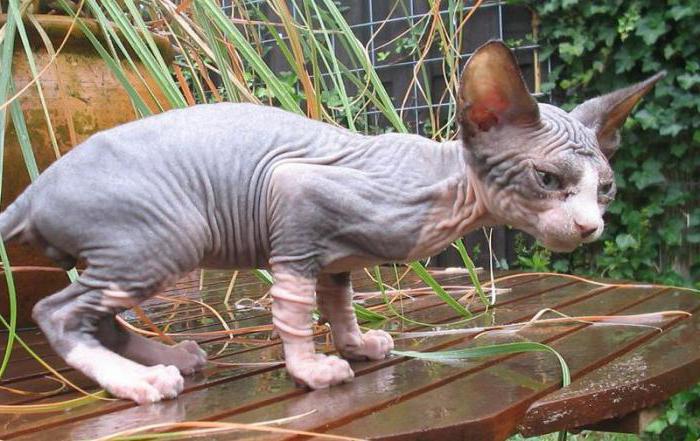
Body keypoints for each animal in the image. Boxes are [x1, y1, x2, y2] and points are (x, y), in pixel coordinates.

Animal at [0, 41, 660, 402]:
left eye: (605, 189)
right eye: (547, 181)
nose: (590, 228)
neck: (442, 191)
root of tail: (34, 191)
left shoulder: (336, 257)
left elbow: (337, 301)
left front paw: (356, 343)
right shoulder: (293, 198)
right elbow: (293, 311)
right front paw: (313, 370)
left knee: (98, 316)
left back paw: (168, 359)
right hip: (167, 235)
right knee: (55, 312)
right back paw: (139, 383)